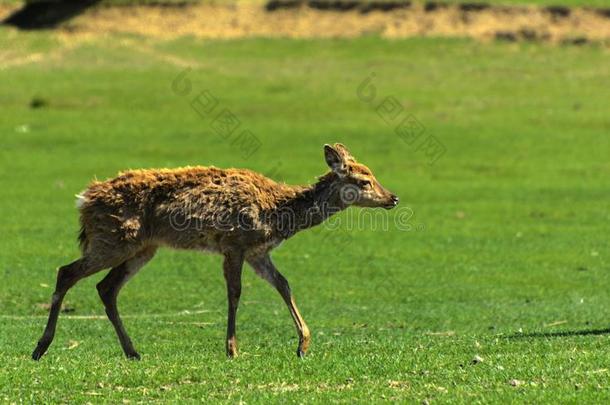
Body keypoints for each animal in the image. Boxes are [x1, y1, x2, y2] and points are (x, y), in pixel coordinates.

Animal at [30, 144, 400, 358]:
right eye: (364, 180)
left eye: (373, 175)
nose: (393, 197)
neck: (278, 212)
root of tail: (83, 200)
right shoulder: (234, 243)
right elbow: (235, 292)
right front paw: (232, 349)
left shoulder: (258, 252)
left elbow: (284, 284)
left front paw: (303, 344)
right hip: (113, 240)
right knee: (67, 272)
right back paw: (41, 346)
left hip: (142, 248)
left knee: (105, 287)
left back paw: (132, 351)